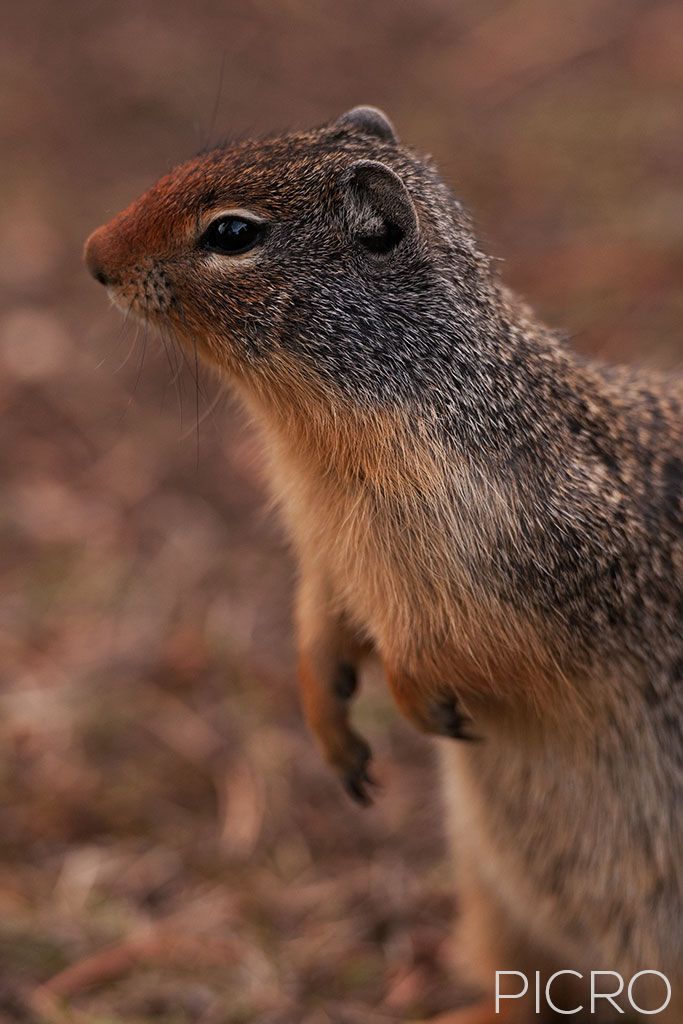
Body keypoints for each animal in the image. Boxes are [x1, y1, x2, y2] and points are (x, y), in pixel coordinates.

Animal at [87, 108, 683, 1019]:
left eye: (231, 233)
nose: (93, 255)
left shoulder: (543, 565)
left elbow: (471, 644)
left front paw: (411, 696)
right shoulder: (325, 554)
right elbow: (320, 619)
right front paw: (328, 721)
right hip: (494, 905)